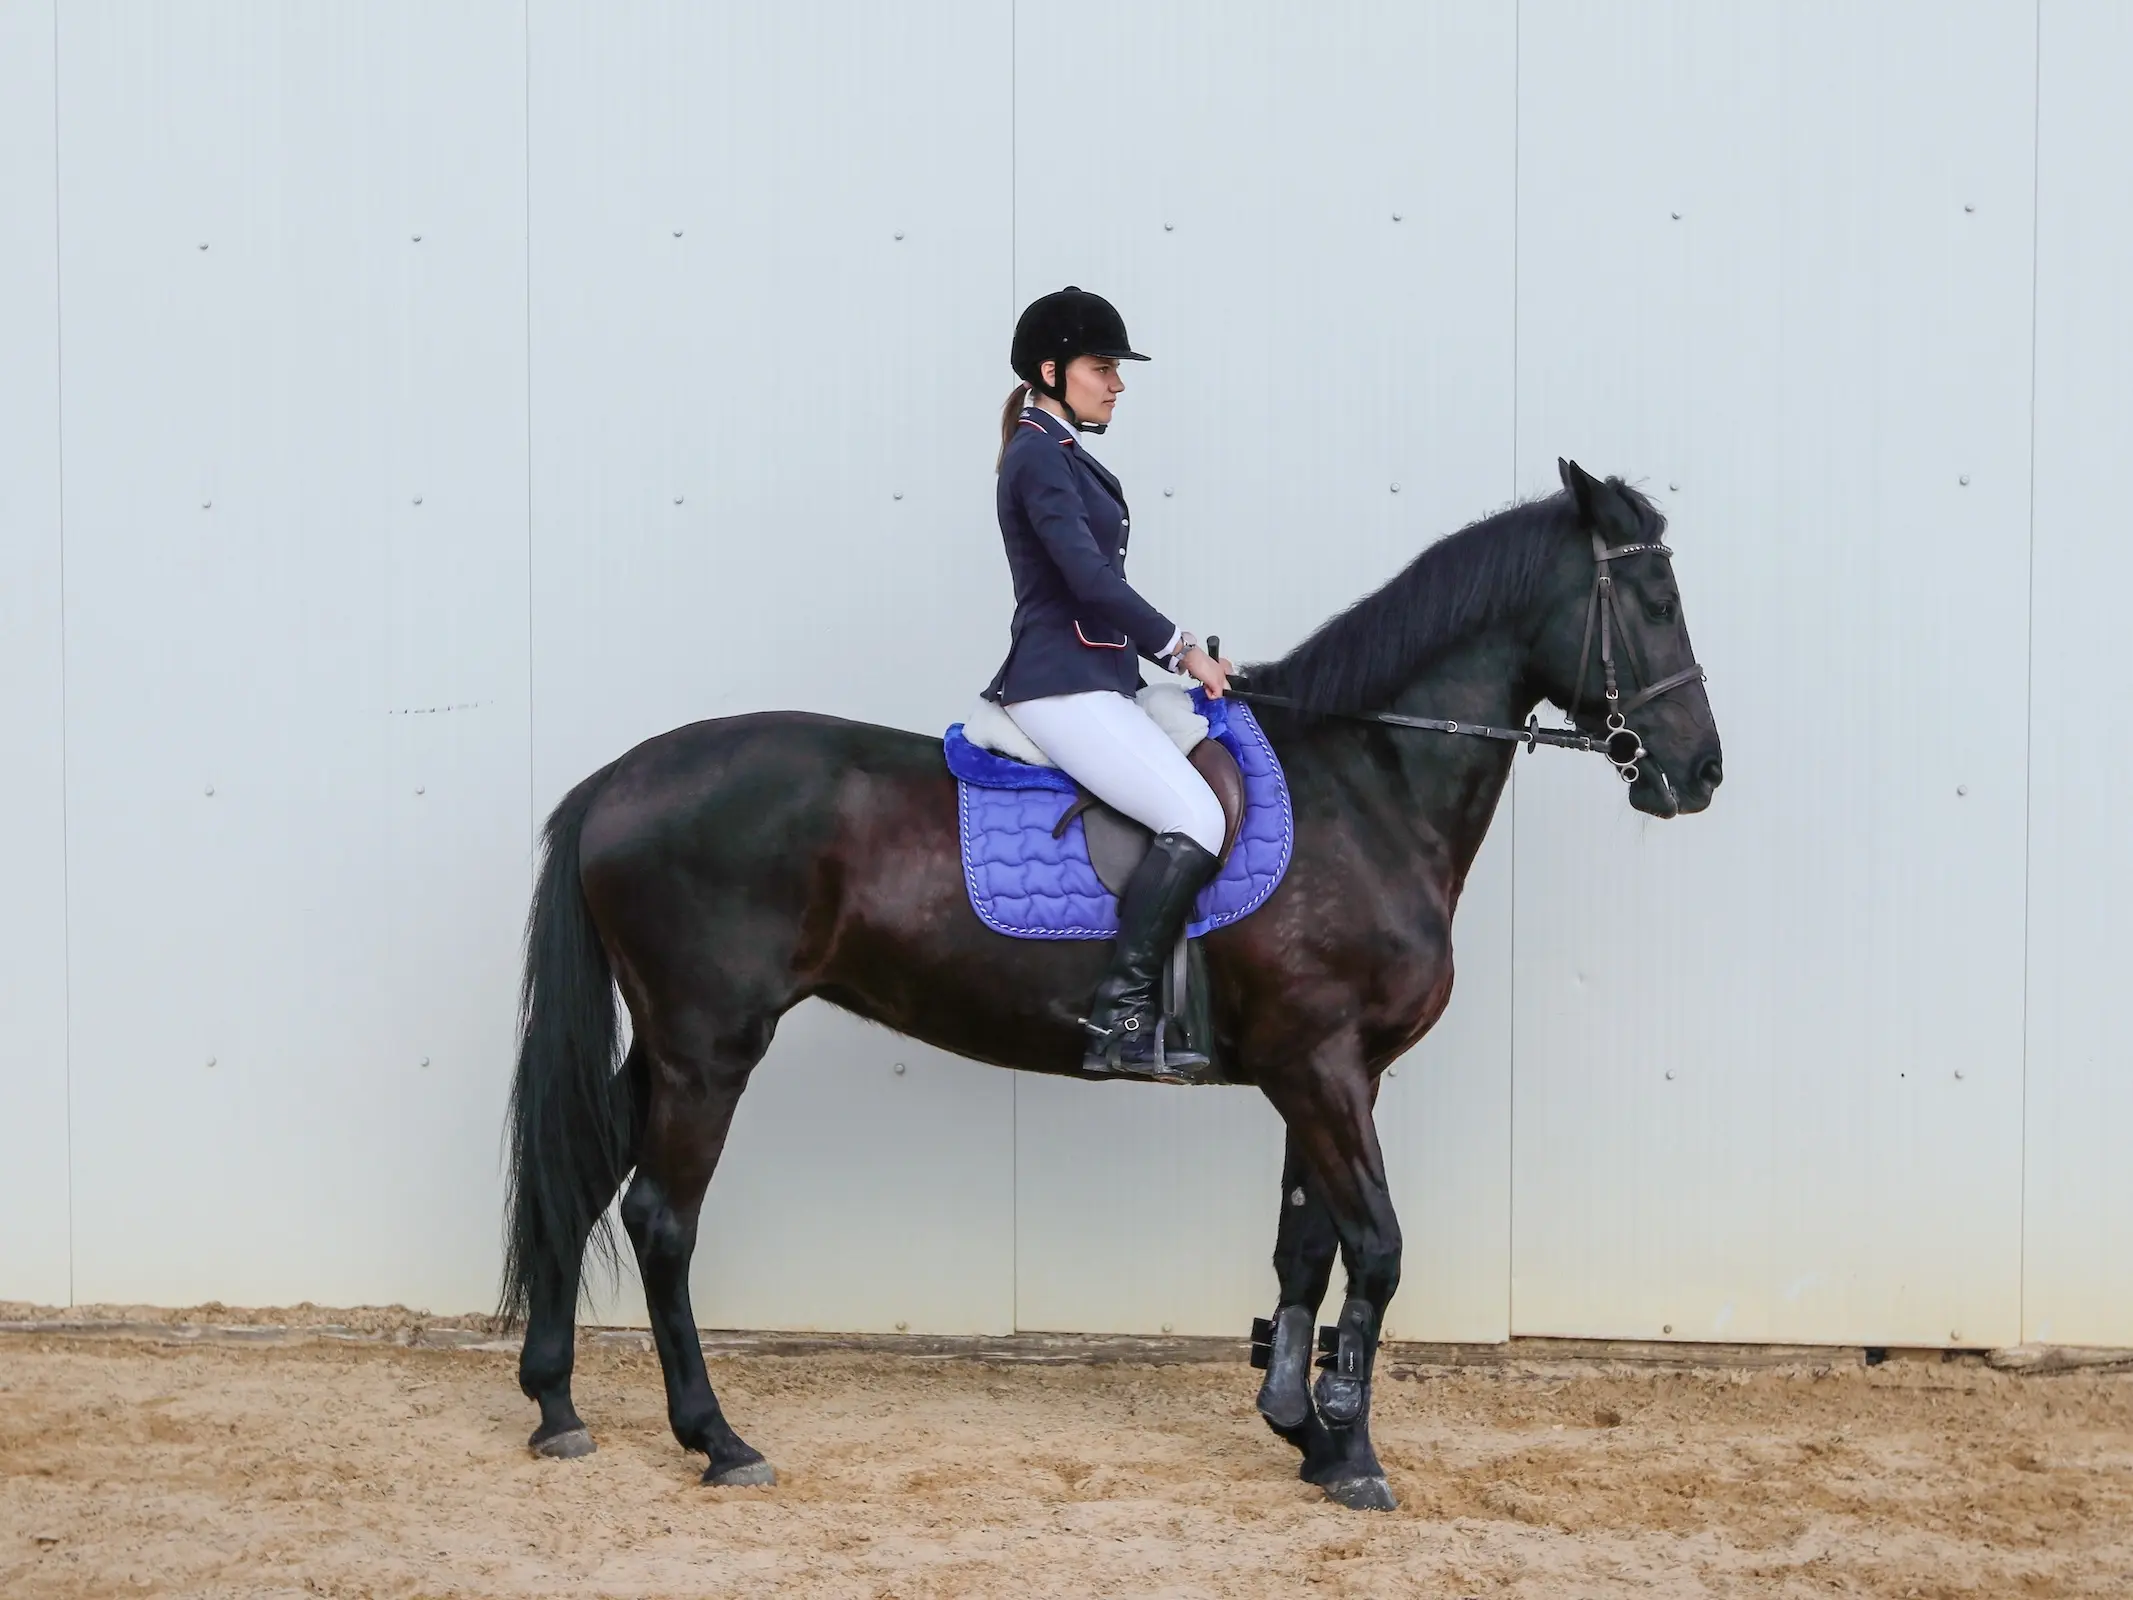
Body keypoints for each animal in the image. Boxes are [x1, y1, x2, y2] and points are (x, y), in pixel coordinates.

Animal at [507, 460, 1723, 1518]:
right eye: (1657, 600)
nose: (1700, 774)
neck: (1365, 786)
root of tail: (617, 779)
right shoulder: (1321, 1067)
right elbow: (1375, 1249)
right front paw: (1354, 1447)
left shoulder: (1329, 1073)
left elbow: (1305, 1248)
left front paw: (1305, 1430)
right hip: (712, 1045)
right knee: (663, 1219)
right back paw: (717, 1438)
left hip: (668, 1045)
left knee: (580, 1175)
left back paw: (557, 1407)